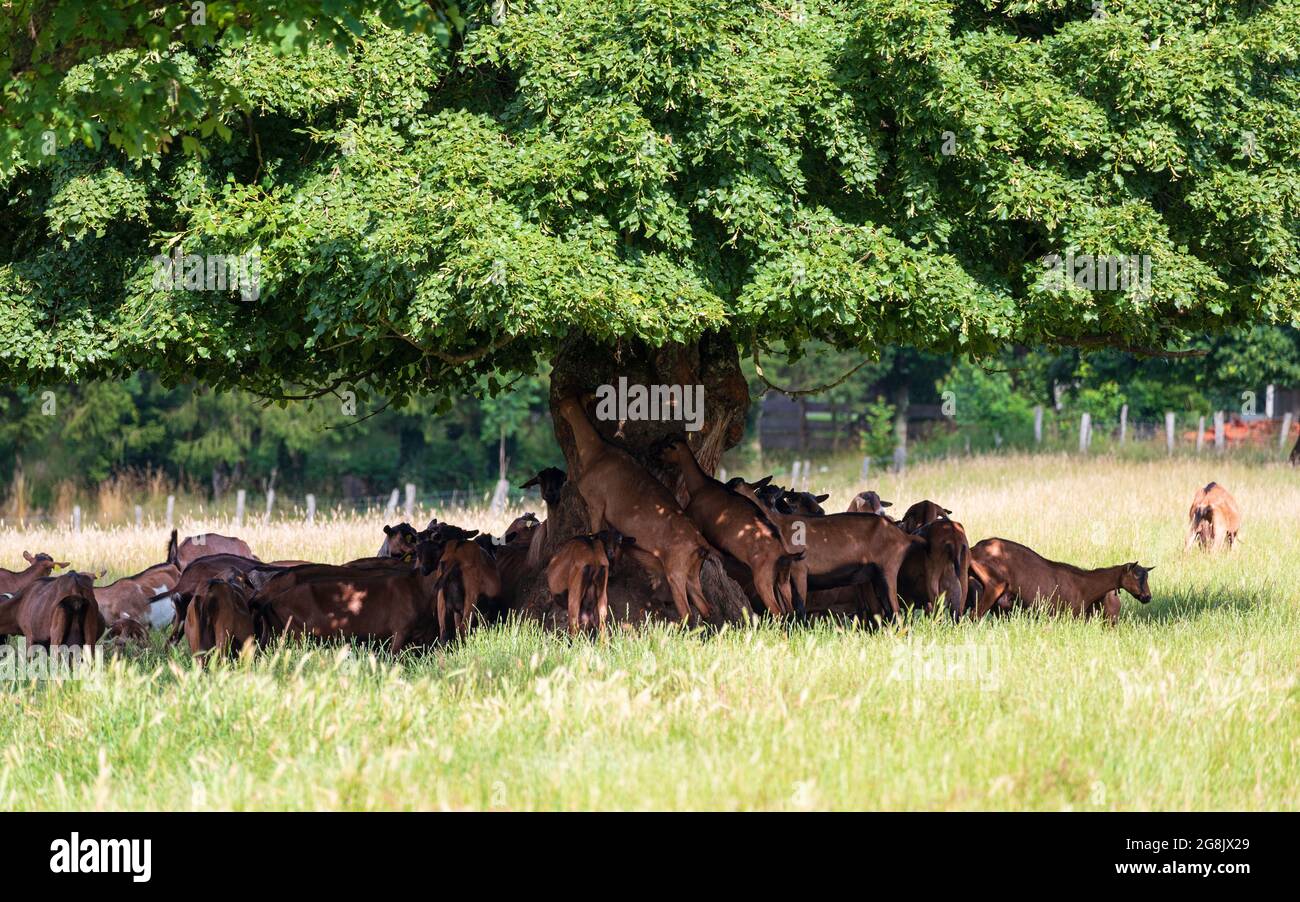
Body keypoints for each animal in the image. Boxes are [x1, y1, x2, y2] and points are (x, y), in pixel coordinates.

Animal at [660, 439, 800, 621]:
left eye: (668, 447)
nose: (657, 455)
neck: (702, 486)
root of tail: (783, 554)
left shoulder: (695, 520)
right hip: (782, 581)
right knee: (790, 610)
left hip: (763, 579)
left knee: (778, 612)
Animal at [967, 538, 1159, 621]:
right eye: (1137, 576)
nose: (1147, 597)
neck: (1085, 585)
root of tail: (974, 550)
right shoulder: (1060, 614)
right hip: (993, 585)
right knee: (974, 615)